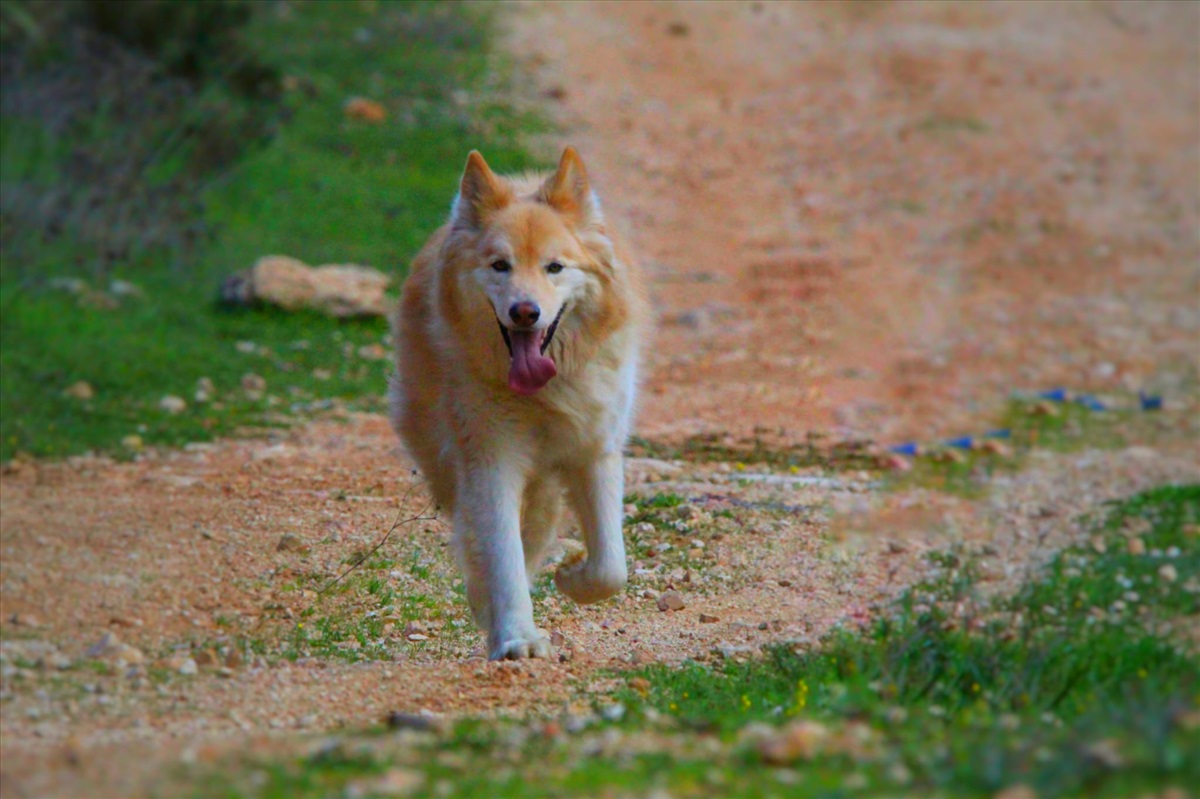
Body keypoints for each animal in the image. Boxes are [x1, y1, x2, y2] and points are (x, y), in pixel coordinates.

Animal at [388, 146, 648, 657]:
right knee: (479, 536)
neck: (545, 393)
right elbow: (500, 553)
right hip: (448, 462)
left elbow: (611, 566)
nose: (525, 312)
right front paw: (516, 638)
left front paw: (572, 579)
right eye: (499, 266)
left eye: (555, 267)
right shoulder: (491, 462)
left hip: (544, 484)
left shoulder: (596, 452)